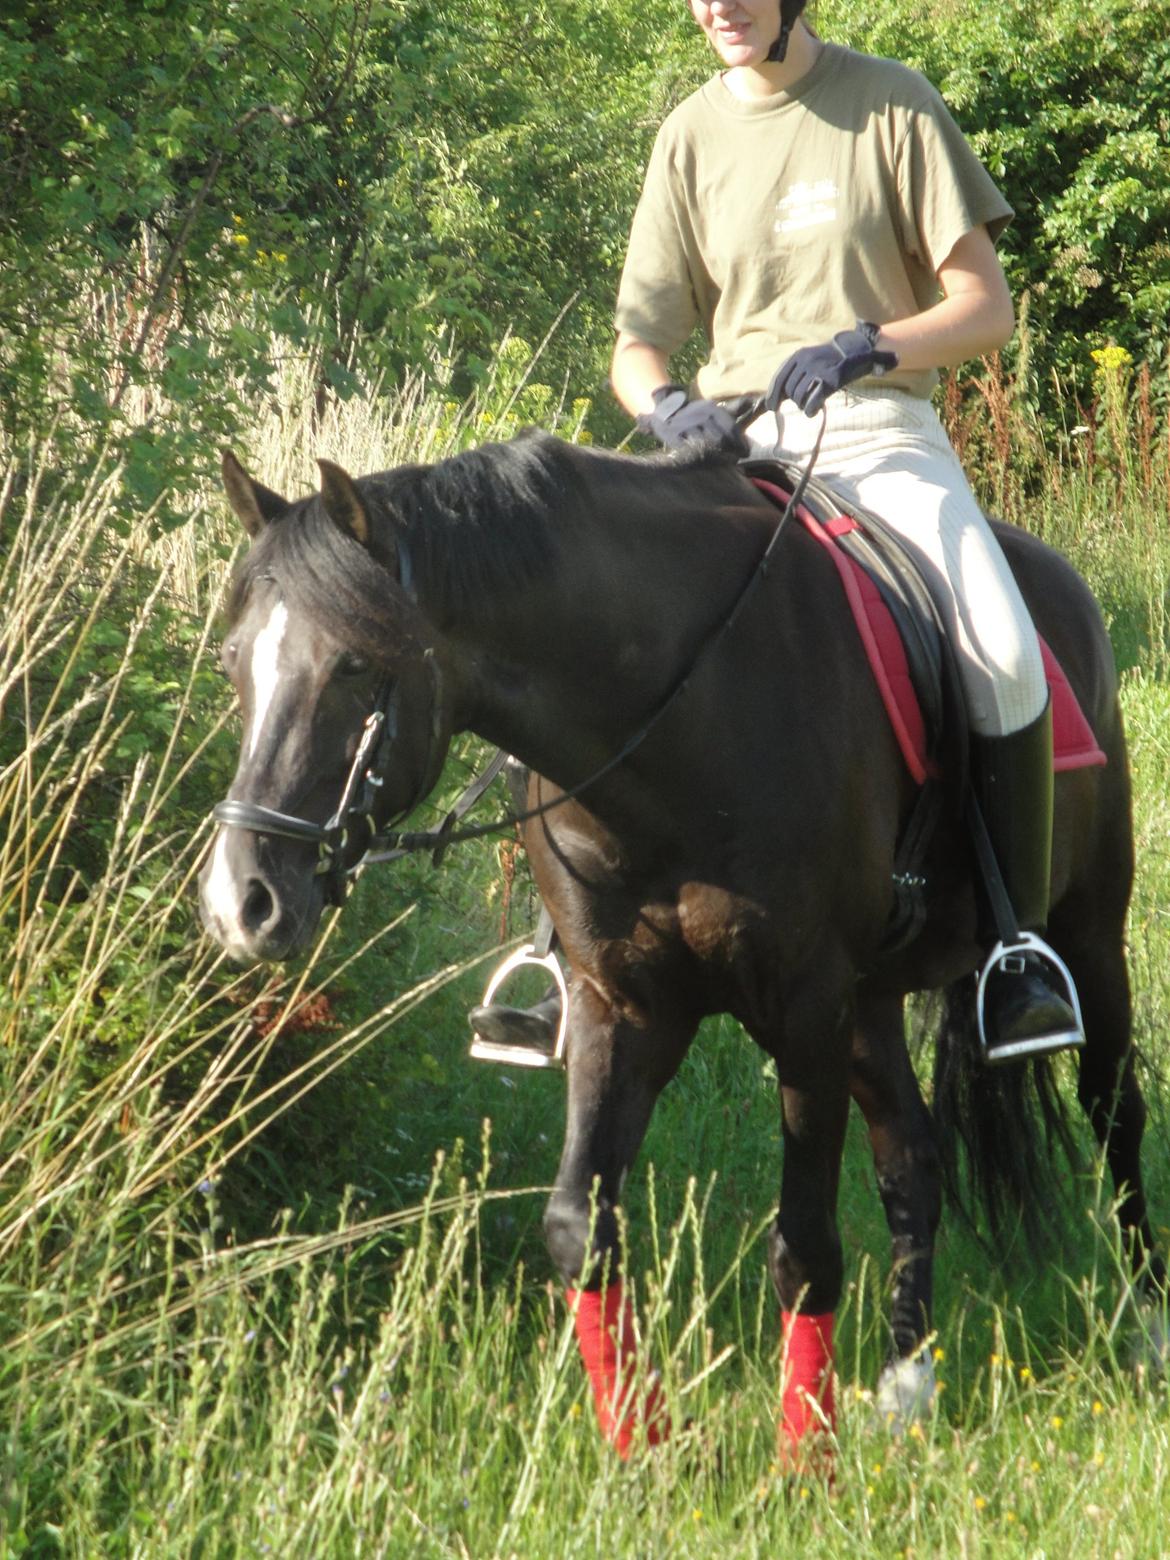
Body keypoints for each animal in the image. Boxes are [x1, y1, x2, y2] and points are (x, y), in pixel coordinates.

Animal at [199, 436, 1166, 1460]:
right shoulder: (621, 1006)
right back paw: (908, 1385)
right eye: (233, 663)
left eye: (353, 664)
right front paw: (641, 1445)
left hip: (1086, 932)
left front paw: (803, 1461)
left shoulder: (804, 1008)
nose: (238, 903)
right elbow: (580, 1229)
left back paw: (1146, 1325)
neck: (677, 718)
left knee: (1113, 1109)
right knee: (913, 1156)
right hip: (868, 1008)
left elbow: (805, 1249)